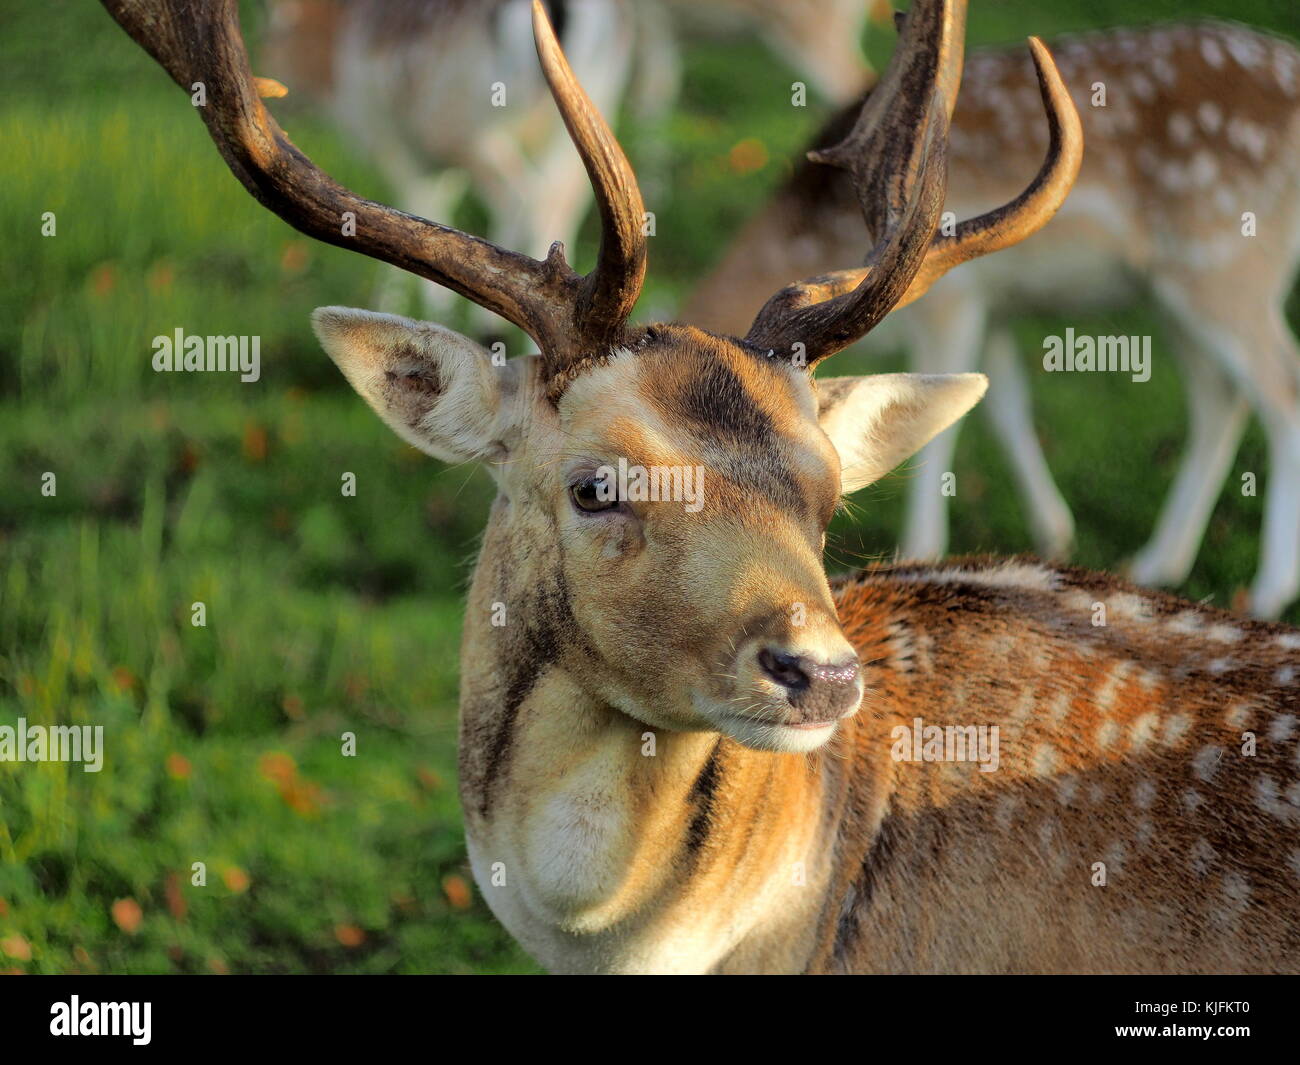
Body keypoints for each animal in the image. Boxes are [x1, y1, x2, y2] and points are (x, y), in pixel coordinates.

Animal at [688, 18, 1300, 621]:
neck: (815, 228)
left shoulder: (951, 299)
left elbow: (946, 427)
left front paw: (920, 550)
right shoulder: (995, 308)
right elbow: (1004, 406)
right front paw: (1053, 532)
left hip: (1227, 261)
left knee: (1279, 387)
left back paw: (1267, 590)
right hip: (1172, 289)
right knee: (1221, 398)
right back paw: (1159, 561)